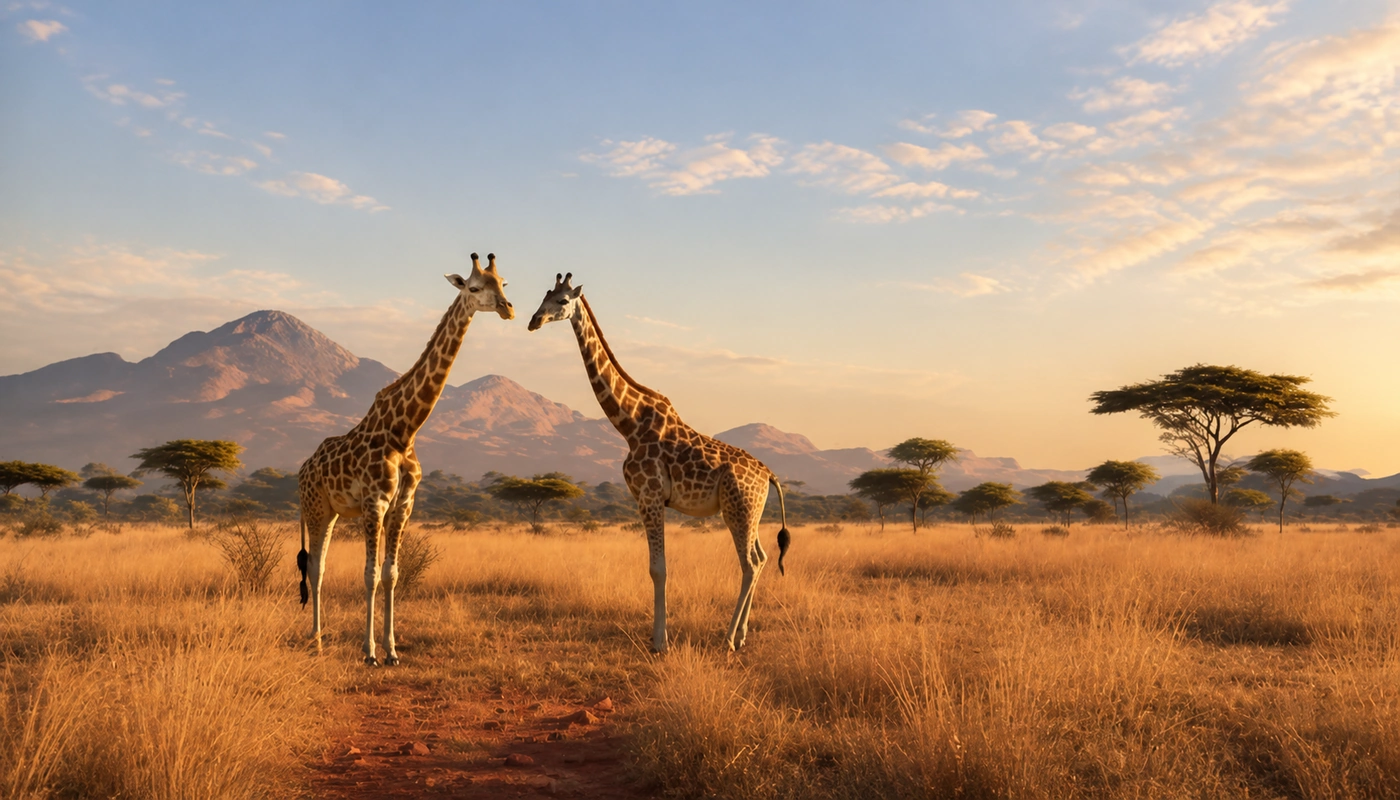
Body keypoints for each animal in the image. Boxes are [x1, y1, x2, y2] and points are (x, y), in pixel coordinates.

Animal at [296, 253, 514, 665]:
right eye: (474, 287)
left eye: (504, 284)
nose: (508, 309)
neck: (404, 430)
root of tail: (301, 469)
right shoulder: (374, 503)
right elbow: (369, 574)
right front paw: (368, 652)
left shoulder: (403, 506)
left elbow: (391, 574)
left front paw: (392, 649)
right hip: (315, 508)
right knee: (315, 568)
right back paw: (314, 639)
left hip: (332, 512)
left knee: (319, 566)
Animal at [527, 273, 790, 653]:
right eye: (545, 295)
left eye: (562, 301)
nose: (534, 321)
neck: (629, 423)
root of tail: (769, 474)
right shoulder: (642, 498)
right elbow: (654, 567)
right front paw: (659, 636)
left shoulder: (650, 496)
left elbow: (658, 569)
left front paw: (659, 641)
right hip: (749, 511)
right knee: (763, 557)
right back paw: (741, 636)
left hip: (739, 509)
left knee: (750, 563)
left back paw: (728, 640)